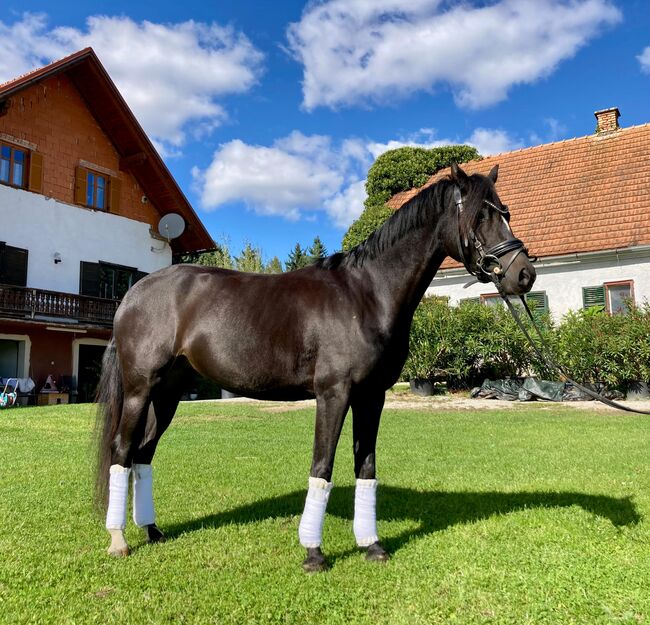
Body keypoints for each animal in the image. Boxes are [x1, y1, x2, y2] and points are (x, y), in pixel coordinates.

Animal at [95, 162, 532, 572]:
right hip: (140, 390)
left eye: (507, 211)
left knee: (144, 454)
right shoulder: (333, 395)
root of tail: (134, 293)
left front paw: (371, 545)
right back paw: (118, 540)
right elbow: (322, 466)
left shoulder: (372, 397)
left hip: (167, 394)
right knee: (122, 451)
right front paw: (313, 553)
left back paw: (152, 530)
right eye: (480, 215)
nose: (524, 273)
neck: (367, 295)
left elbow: (366, 466)